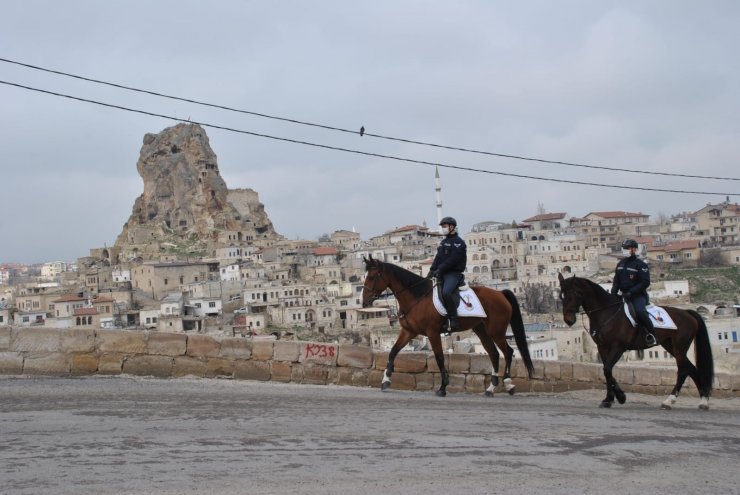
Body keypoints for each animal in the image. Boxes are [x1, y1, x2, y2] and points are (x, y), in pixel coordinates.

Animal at [362, 258, 532, 398]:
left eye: (371, 277)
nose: (364, 302)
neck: (417, 296)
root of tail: (500, 293)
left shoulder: (432, 332)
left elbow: (439, 358)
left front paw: (443, 387)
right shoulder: (409, 331)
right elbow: (393, 352)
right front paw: (386, 379)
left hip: (496, 331)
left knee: (508, 352)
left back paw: (508, 384)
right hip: (481, 330)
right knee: (494, 354)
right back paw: (491, 387)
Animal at [556, 274, 712, 408]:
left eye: (575, 294)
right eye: (561, 296)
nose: (569, 320)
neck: (607, 313)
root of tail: (687, 312)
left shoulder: (618, 347)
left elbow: (607, 370)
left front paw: (619, 397)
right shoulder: (602, 347)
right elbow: (607, 371)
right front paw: (610, 399)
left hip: (680, 346)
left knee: (683, 370)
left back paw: (670, 400)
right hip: (670, 345)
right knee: (691, 368)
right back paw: (703, 400)